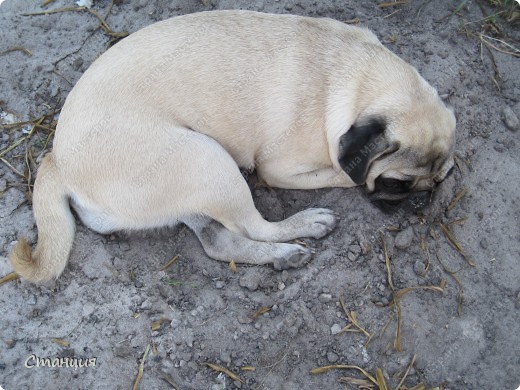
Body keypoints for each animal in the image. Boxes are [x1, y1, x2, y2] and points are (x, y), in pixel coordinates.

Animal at [8, 10, 456, 282]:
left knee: (218, 241)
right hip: (207, 159)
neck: (356, 75)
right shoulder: (281, 169)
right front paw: (353, 181)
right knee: (254, 224)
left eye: (440, 178)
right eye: (397, 184)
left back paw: (282, 255)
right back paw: (303, 226)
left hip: (194, 181)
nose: (422, 198)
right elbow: (348, 176)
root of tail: (56, 160)